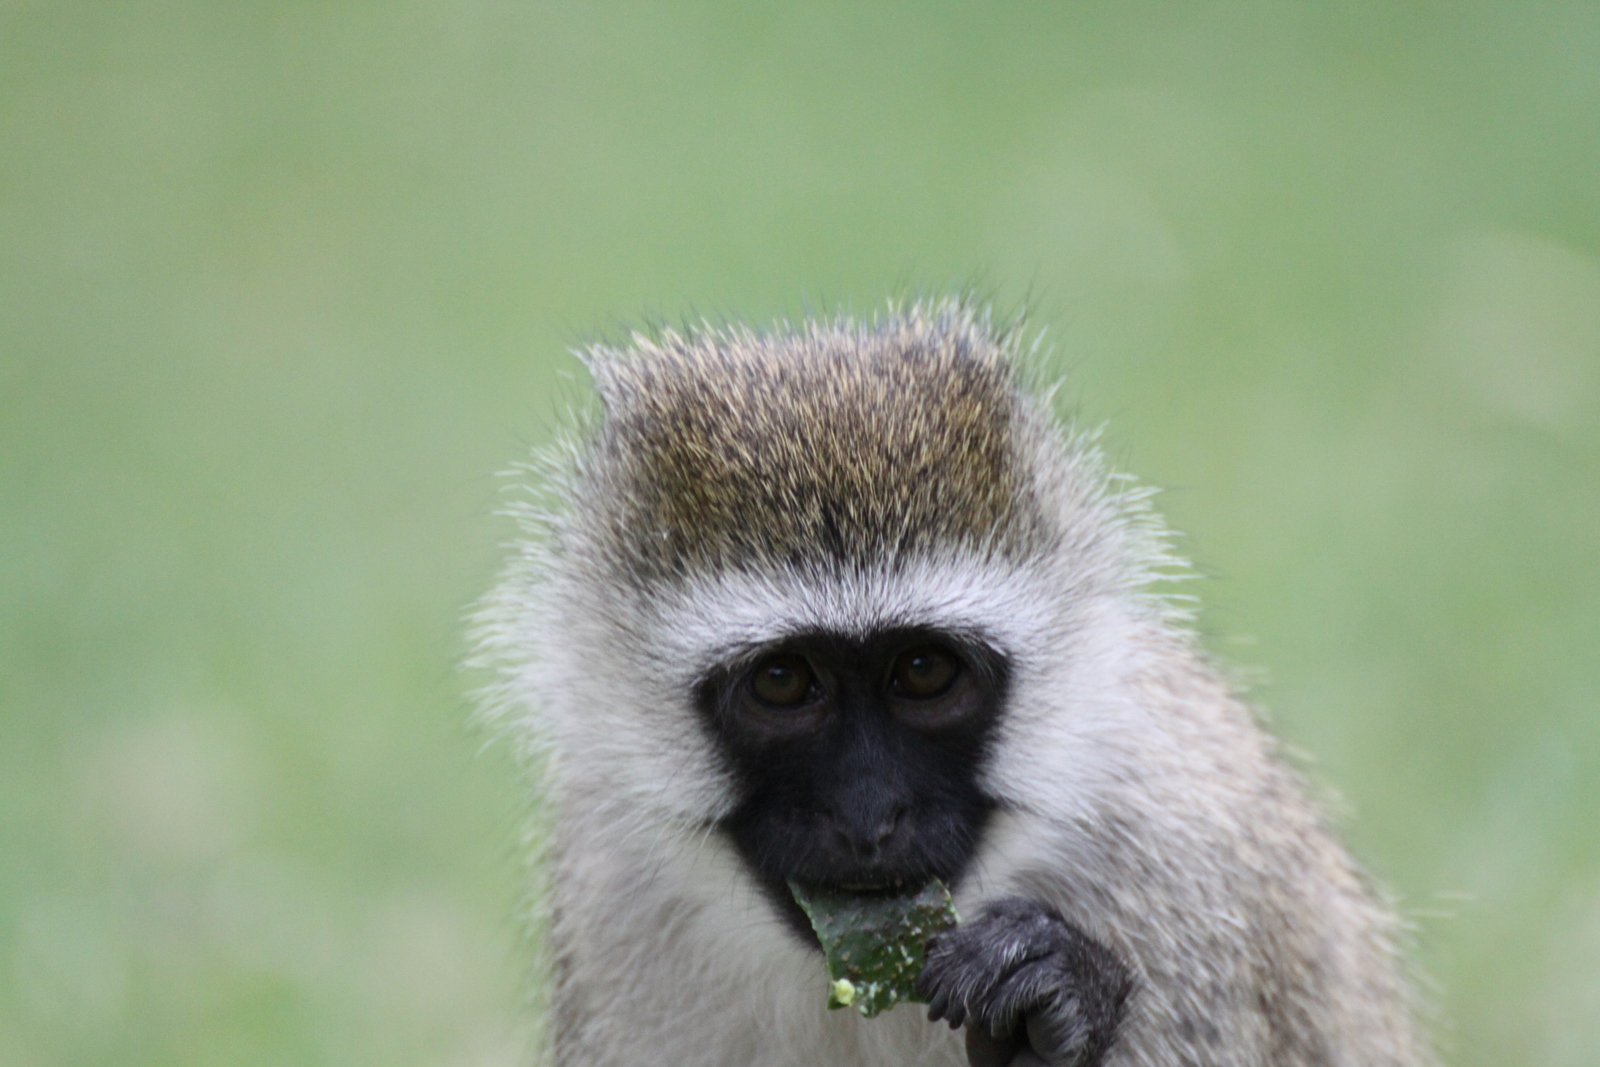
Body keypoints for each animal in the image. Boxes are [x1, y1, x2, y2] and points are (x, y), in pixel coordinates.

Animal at [470, 300, 1427, 1067]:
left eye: (924, 671)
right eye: (781, 681)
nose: (868, 817)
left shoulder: (1176, 868)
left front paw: (1062, 994)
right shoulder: (605, 885)